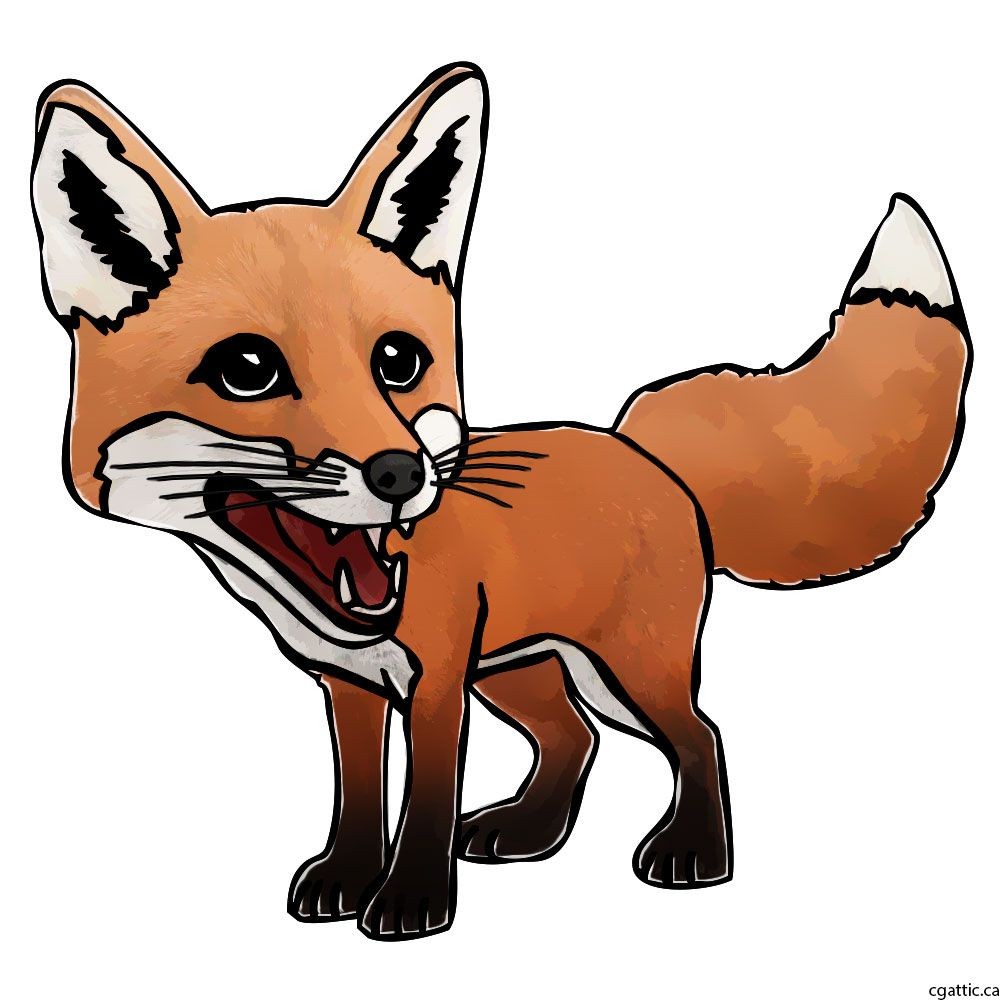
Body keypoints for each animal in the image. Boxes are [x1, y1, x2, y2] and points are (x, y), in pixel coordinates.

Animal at [31, 63, 971, 940]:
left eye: (398, 361)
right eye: (249, 370)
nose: (399, 474)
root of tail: (639, 449)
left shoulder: (438, 682)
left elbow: (426, 799)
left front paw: (410, 900)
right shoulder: (353, 686)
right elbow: (360, 795)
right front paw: (349, 878)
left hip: (626, 670)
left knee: (698, 735)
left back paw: (695, 852)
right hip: (525, 669)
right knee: (574, 739)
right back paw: (530, 831)